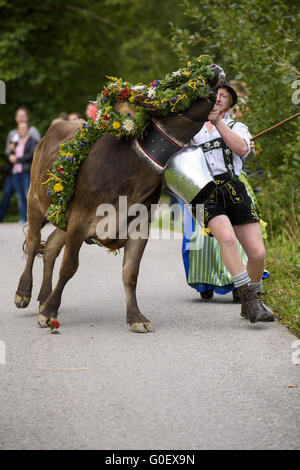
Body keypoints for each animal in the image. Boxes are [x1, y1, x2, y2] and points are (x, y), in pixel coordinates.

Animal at [14, 64, 225, 332]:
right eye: (179, 82)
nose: (214, 66)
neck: (132, 174)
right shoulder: (81, 219)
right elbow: (69, 266)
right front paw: (49, 313)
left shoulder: (139, 226)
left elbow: (130, 273)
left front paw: (136, 317)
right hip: (34, 199)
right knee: (33, 242)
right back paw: (25, 293)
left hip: (63, 216)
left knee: (50, 247)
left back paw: (43, 298)